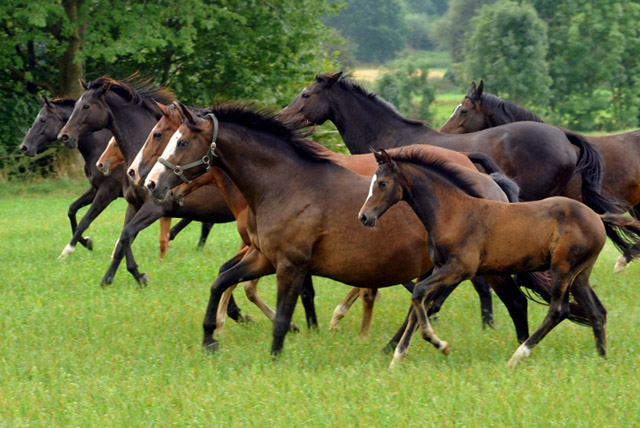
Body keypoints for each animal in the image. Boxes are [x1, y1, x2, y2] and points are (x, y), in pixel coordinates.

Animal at [141, 103, 556, 358]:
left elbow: (282, 315)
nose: (150, 182)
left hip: (481, 267)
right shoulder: (264, 258)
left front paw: (276, 355)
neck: (285, 183)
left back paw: (518, 348)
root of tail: (491, 183)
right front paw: (210, 339)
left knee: (511, 302)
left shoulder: (290, 264)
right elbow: (221, 281)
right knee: (435, 302)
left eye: (178, 140)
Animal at [358, 148, 640, 368]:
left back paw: (517, 356)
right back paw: (602, 359)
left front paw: (439, 344)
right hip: (579, 275)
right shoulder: (439, 267)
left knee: (558, 310)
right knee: (597, 312)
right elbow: (421, 302)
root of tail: (596, 216)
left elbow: (419, 296)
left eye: (382, 183)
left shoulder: (461, 268)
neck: (452, 212)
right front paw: (397, 358)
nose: (364, 217)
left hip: (562, 269)